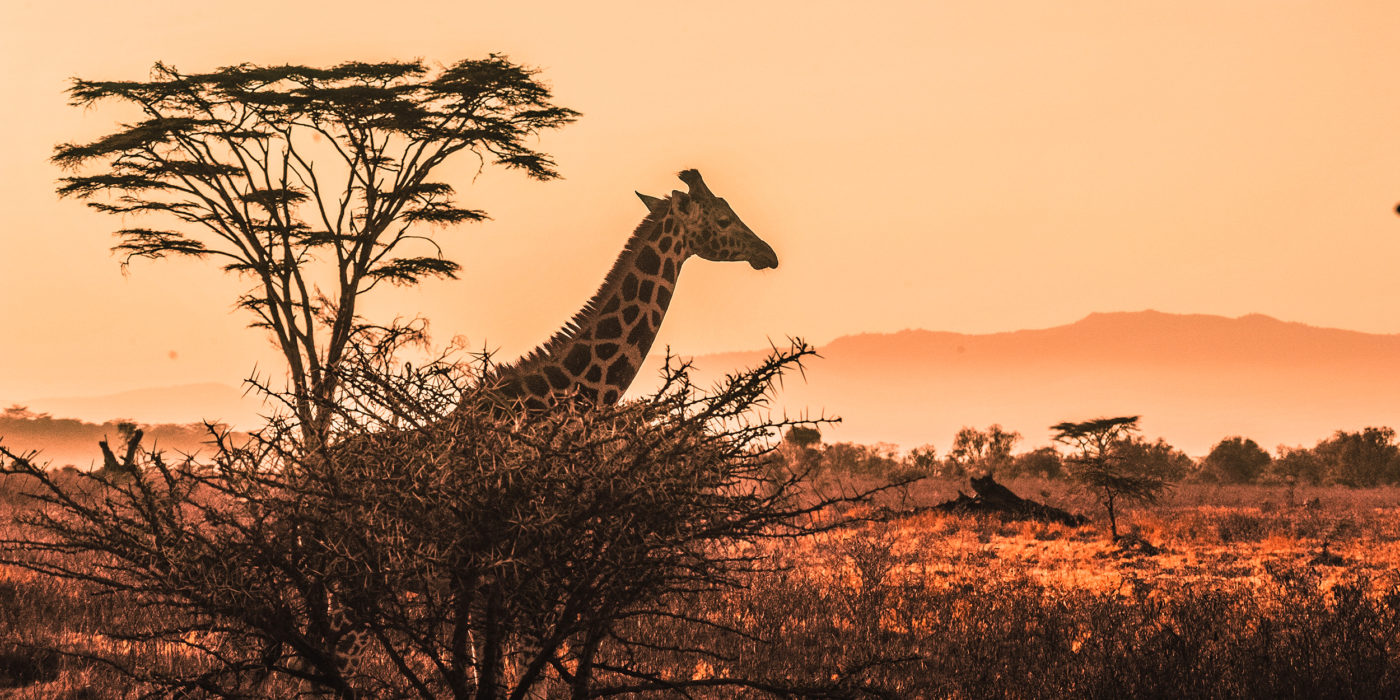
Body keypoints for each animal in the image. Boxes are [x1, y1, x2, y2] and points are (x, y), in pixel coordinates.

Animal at [316, 169, 778, 694]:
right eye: (722, 218)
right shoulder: (515, 578)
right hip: (356, 583)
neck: (553, 402)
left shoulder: (502, 585)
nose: (768, 253)